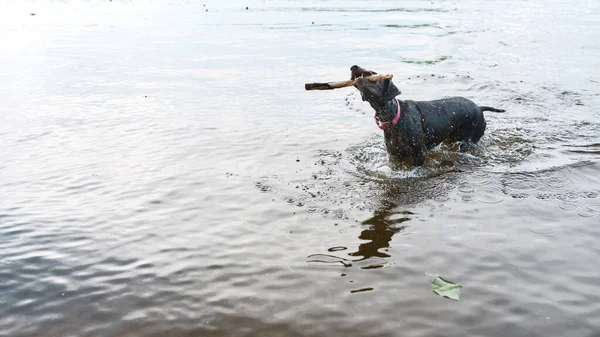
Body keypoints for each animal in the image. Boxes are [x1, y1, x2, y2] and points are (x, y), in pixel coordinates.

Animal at [350, 65, 504, 166]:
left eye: (373, 73)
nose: (353, 67)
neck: (395, 116)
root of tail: (479, 108)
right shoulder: (395, 155)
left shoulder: (420, 153)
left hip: (467, 141)